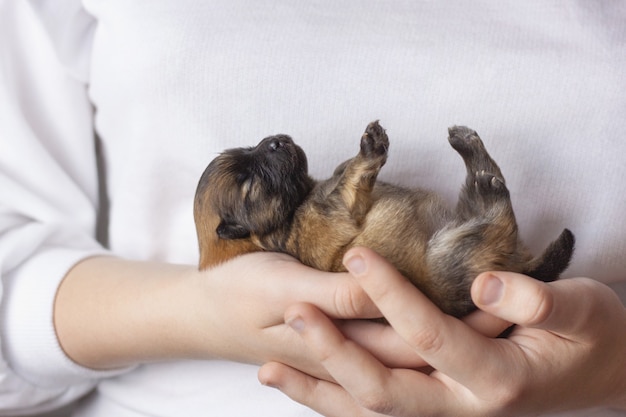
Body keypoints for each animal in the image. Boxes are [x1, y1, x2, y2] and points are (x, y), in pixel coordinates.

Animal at [193, 122, 572, 316]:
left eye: (251, 148)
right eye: (249, 182)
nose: (276, 140)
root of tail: (520, 268)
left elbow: (341, 171)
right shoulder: (334, 215)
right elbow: (350, 180)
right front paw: (369, 149)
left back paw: (467, 143)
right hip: (454, 251)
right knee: (497, 208)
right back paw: (482, 173)